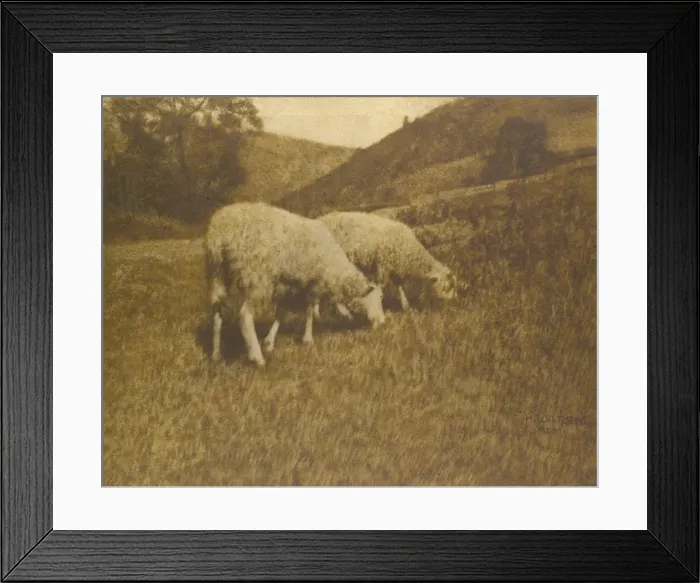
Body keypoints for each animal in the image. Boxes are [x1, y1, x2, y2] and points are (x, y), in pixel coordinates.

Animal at [205, 202, 386, 366]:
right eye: (377, 300)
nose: (383, 321)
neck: (335, 265)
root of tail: (223, 231)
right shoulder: (314, 282)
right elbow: (310, 310)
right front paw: (308, 338)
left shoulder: (288, 285)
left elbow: (281, 313)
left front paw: (269, 342)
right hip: (257, 277)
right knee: (245, 317)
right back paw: (257, 357)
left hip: (217, 274)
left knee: (216, 311)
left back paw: (216, 354)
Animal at [317, 211, 457, 311]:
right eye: (446, 287)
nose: (452, 304)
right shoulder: (382, 266)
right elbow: (380, 286)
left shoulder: (394, 266)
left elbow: (399, 285)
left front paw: (405, 305)